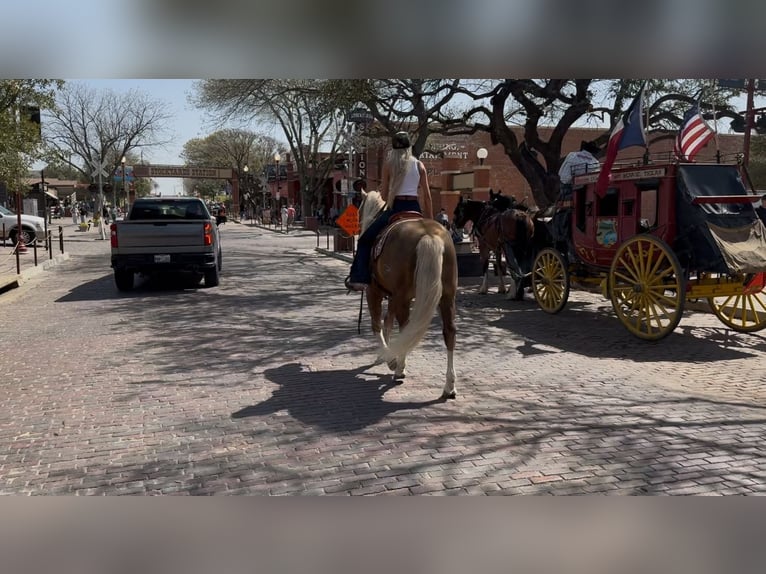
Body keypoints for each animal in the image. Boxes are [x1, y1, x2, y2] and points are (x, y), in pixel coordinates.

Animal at [356, 192, 460, 400]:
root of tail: (429, 235)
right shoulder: (394, 297)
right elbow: (387, 323)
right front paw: (387, 354)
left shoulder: (374, 292)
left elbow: (377, 324)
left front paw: (389, 358)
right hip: (446, 296)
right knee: (449, 332)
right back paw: (449, 386)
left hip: (402, 297)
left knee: (406, 327)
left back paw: (399, 369)